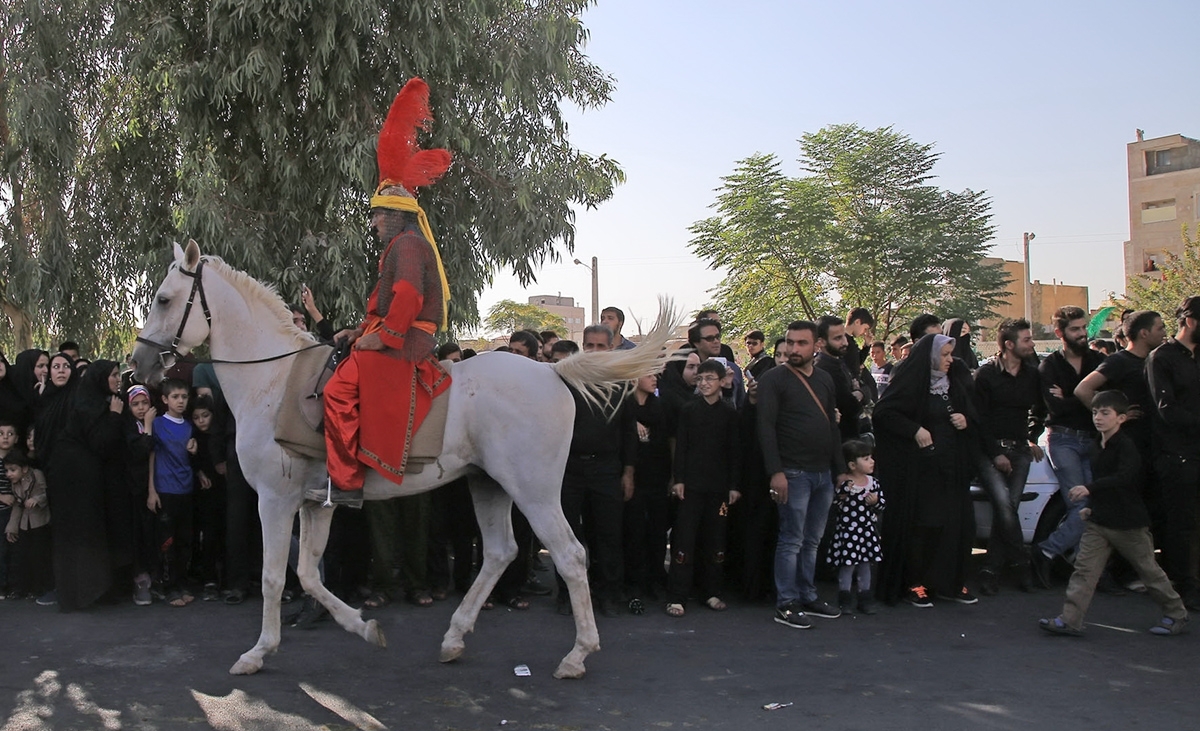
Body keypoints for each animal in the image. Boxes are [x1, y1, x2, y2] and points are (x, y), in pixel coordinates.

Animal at [130, 241, 676, 676]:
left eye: (163, 299)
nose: (136, 364)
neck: (275, 381)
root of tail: (552, 372)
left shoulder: (276, 500)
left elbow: (273, 577)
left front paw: (258, 652)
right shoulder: (316, 504)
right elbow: (307, 574)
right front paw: (363, 626)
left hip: (535, 491)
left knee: (570, 555)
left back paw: (577, 655)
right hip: (489, 484)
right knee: (500, 552)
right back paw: (454, 638)